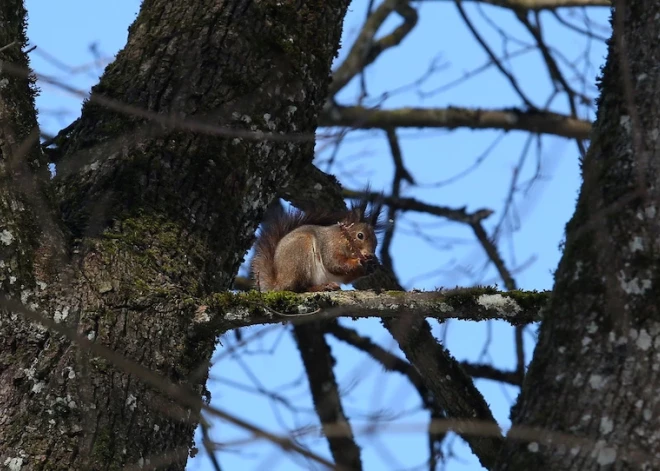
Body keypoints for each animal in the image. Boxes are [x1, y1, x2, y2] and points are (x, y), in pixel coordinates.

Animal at [251, 198, 384, 294]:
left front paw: (371, 265)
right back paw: (322, 287)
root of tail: (278, 284)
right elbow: (334, 263)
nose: (370, 254)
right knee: (298, 288)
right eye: (360, 235)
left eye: (376, 242)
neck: (342, 239)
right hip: (300, 254)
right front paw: (359, 262)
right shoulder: (329, 245)